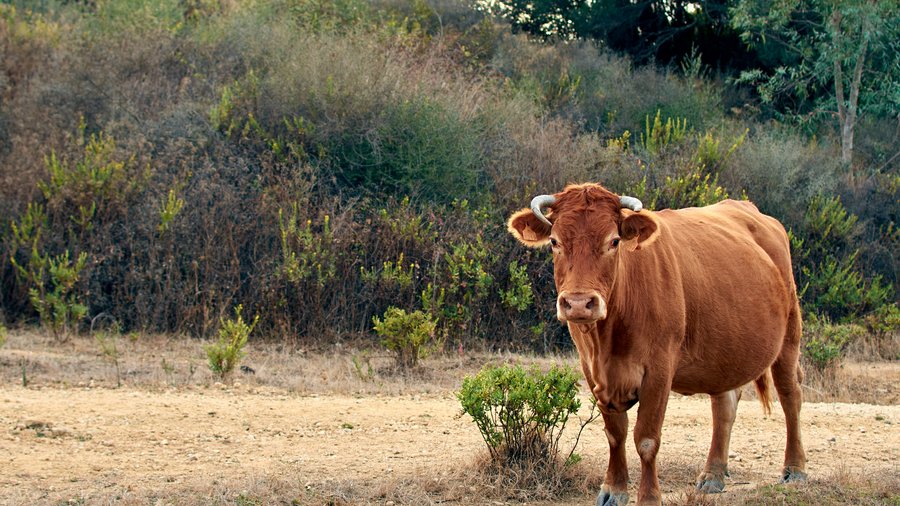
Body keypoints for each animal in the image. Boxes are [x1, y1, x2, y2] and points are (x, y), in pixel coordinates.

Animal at [506, 184, 808, 506]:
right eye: (554, 241)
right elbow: (615, 434)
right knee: (724, 405)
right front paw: (614, 489)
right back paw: (713, 474)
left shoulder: (659, 370)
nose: (578, 303)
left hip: (789, 338)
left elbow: (646, 439)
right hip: (725, 352)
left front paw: (649, 496)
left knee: (790, 396)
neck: (608, 339)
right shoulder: (592, 371)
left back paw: (795, 469)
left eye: (614, 241)